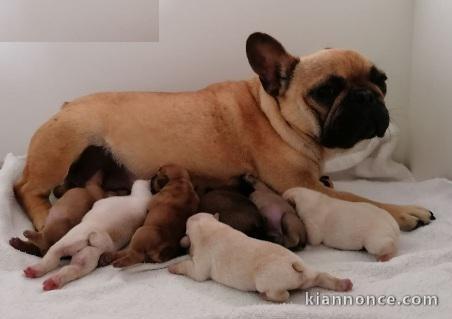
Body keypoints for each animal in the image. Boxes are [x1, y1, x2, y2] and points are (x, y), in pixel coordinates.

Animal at [15, 33, 434, 238]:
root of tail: (66, 105)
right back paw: (44, 217)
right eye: (326, 91)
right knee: (26, 188)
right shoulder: (300, 184)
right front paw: (404, 211)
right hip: (65, 141)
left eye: (382, 81)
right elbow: (358, 198)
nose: (367, 96)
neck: (274, 114)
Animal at [23, 179, 152, 292]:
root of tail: (100, 240)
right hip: (88, 257)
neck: (141, 197)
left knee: (52, 256)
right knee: (72, 269)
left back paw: (35, 269)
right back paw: (53, 281)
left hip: (71, 239)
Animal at [168, 214, 352, 304]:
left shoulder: (200, 266)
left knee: (283, 295)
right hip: (309, 272)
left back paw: (265, 296)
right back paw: (344, 284)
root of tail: (295, 265)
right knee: (322, 276)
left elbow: (192, 270)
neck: (208, 226)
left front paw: (174, 267)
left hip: (267, 281)